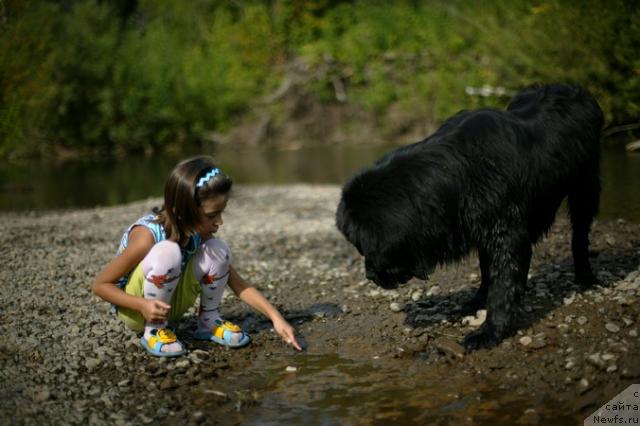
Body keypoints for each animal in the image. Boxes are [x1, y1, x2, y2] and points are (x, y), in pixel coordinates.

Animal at [338, 83, 604, 350]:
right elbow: (488, 272)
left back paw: (586, 277)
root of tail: (570, 88)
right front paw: (477, 301)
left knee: (580, 236)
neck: (458, 174)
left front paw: (490, 331)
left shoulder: (507, 236)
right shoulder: (482, 230)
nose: (370, 276)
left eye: (362, 247)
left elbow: (502, 286)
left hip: (586, 187)